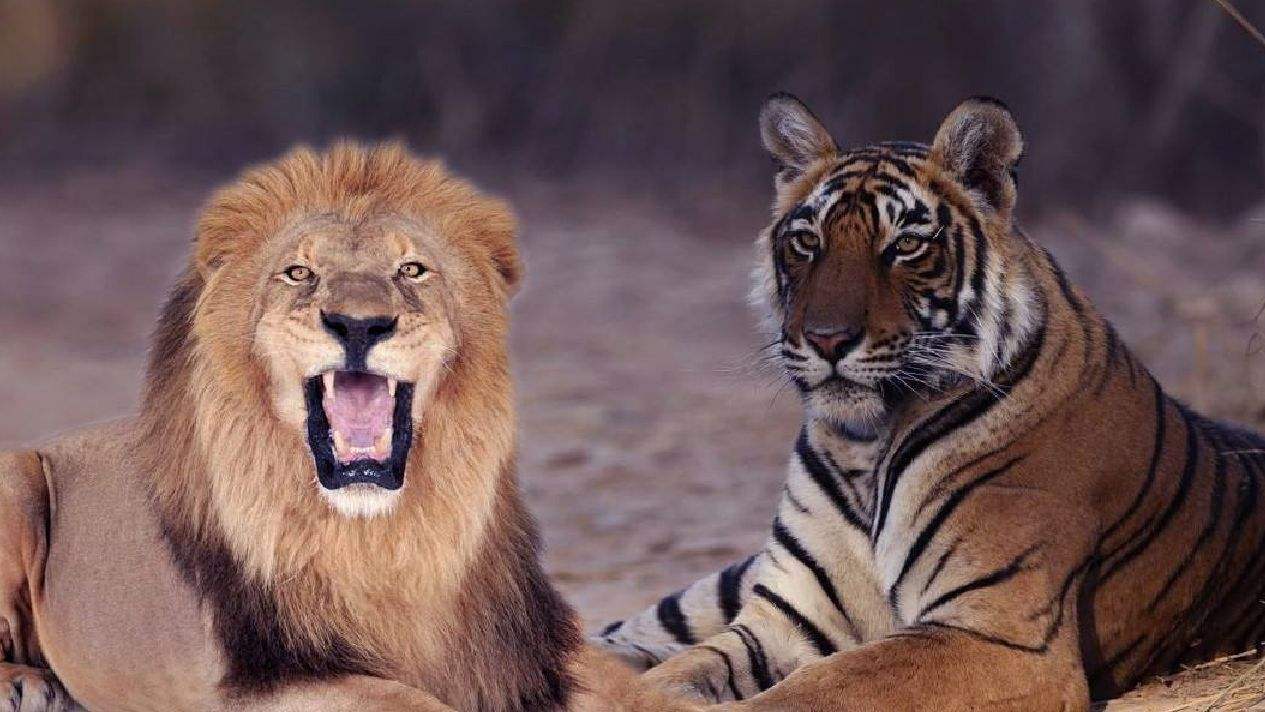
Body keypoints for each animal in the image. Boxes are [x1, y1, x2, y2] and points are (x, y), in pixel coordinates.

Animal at [593, 93, 1265, 711]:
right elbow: (675, 673)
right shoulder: (783, 620)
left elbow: (820, 687)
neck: (864, 445)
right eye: (807, 242)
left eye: (904, 246)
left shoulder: (999, 635)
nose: (826, 339)